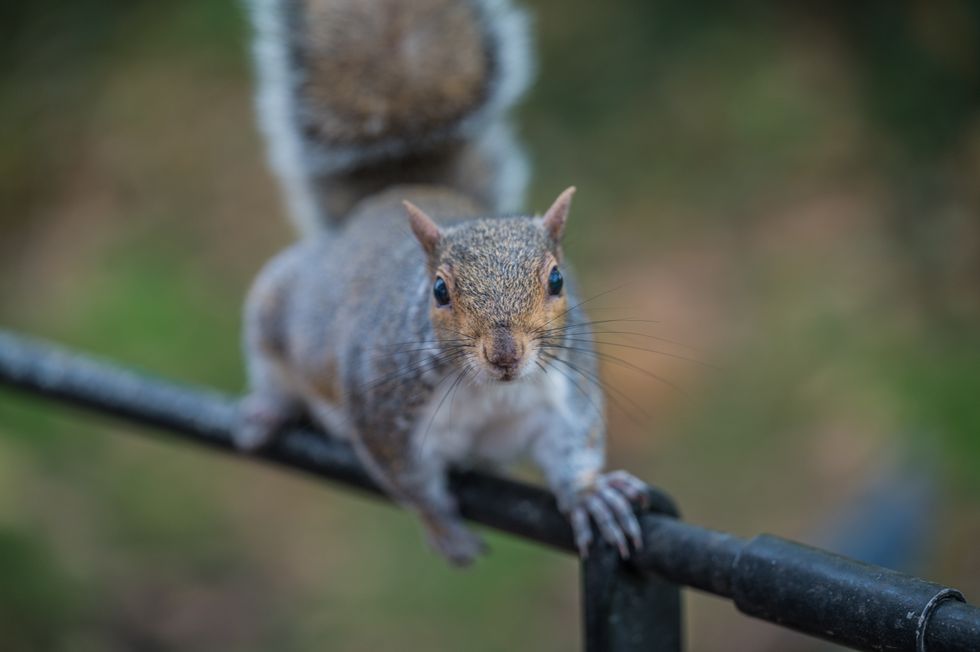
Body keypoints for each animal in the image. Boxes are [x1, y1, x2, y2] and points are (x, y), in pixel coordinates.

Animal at [237, 0, 650, 565]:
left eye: (558, 279)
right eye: (439, 290)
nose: (505, 355)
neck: (487, 391)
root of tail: (385, 198)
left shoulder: (565, 389)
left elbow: (573, 444)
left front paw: (589, 495)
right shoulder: (381, 411)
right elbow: (410, 482)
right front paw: (440, 525)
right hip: (272, 306)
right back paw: (266, 410)